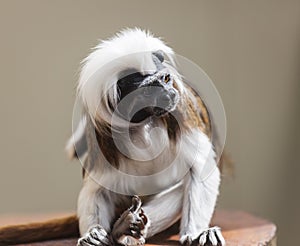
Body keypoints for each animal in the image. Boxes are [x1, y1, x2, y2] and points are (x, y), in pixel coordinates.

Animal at [0, 27, 225, 245]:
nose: (169, 95)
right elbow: (96, 189)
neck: (145, 121)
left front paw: (195, 234)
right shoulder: (102, 135)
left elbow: (201, 171)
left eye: (166, 79)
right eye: (146, 92)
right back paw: (123, 228)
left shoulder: (180, 113)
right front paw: (92, 233)